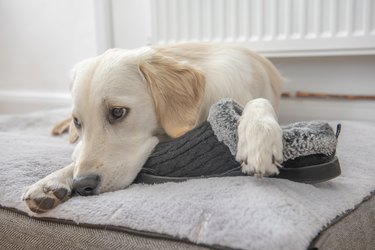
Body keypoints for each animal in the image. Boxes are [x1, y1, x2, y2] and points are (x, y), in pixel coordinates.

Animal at [22, 43, 284, 213]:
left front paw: (259, 139)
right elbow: (76, 159)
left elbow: (258, 102)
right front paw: (51, 181)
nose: (81, 185)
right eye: (79, 121)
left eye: (117, 112)